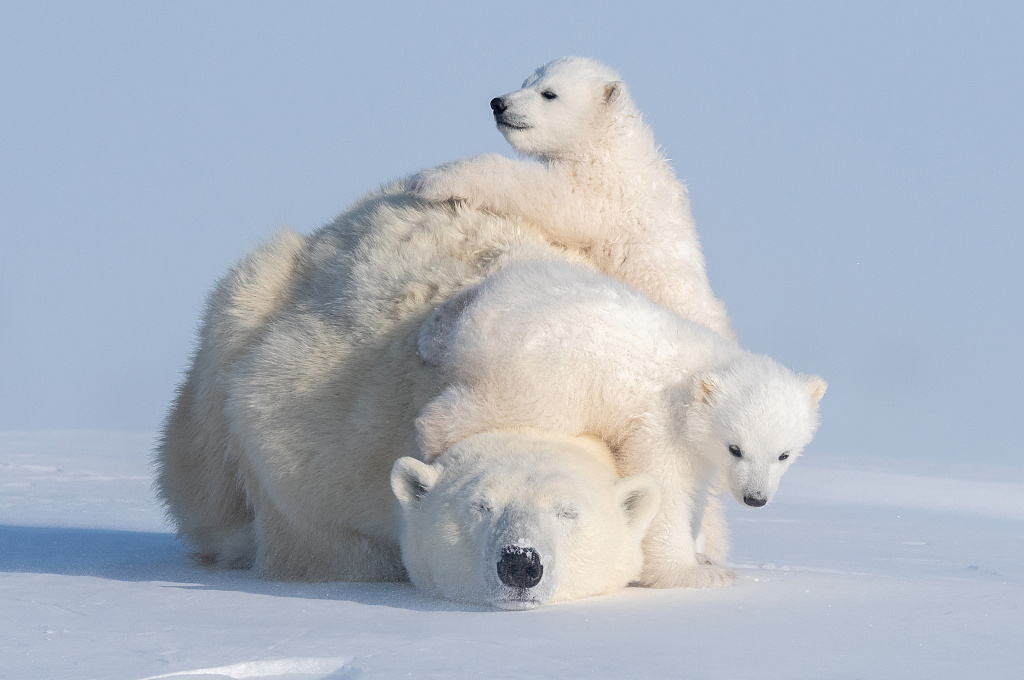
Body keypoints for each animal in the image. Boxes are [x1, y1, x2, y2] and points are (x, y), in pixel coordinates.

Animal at [403, 57, 733, 337]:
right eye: (526, 82)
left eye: (549, 93)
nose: (498, 103)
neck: (608, 141)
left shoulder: (607, 191)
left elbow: (555, 198)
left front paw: (432, 178)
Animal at [415, 260, 823, 589]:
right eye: (735, 448)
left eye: (784, 454)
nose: (756, 498)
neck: (699, 376)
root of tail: (483, 313)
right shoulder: (661, 424)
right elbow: (667, 487)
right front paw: (695, 573)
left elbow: (695, 491)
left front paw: (702, 555)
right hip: (541, 376)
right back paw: (431, 437)